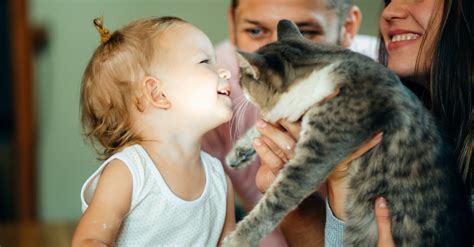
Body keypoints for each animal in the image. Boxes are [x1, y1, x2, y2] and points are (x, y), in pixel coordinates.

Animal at [222, 19, 470, 247]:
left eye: (243, 78)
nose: (235, 81)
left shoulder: (315, 156)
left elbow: (274, 201)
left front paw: (236, 239)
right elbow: (263, 124)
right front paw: (238, 153)